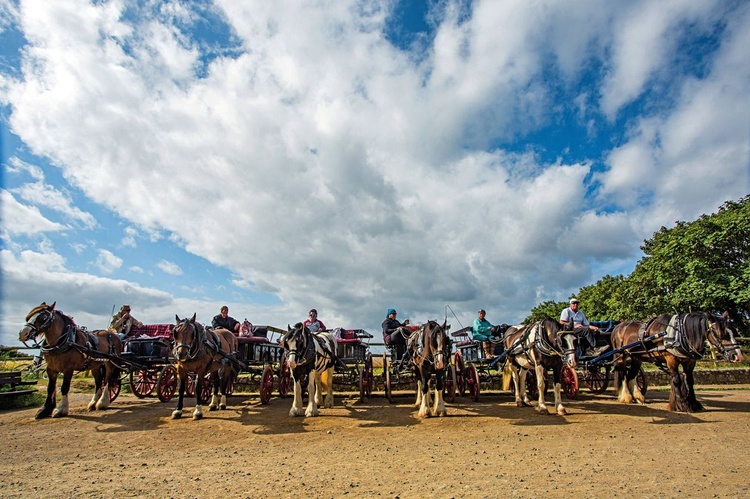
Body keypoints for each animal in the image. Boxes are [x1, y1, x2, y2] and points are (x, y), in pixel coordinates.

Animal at [612, 312, 744, 414]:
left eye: (733, 331)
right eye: (717, 331)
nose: (737, 356)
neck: (680, 334)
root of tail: (618, 327)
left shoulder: (690, 361)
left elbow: (689, 381)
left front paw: (693, 403)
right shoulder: (671, 359)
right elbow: (677, 380)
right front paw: (682, 404)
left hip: (636, 357)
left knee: (632, 375)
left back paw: (637, 396)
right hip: (621, 355)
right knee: (623, 373)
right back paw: (626, 396)